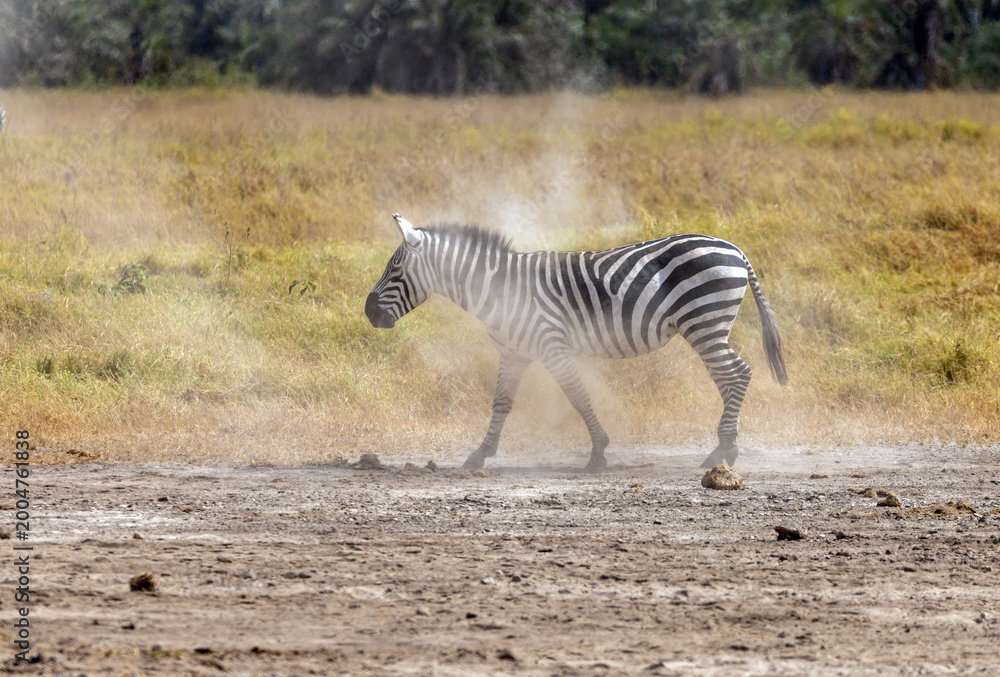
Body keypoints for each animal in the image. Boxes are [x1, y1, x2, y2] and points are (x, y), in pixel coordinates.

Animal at [366, 213, 787, 471]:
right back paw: (721, 448)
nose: (368, 312)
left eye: (395, 269)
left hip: (704, 320)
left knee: (737, 374)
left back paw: (726, 449)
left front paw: (598, 453)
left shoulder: (552, 346)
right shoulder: (514, 354)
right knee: (730, 377)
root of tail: (734, 248)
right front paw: (480, 454)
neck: (500, 290)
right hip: (709, 326)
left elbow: (578, 396)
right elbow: (501, 403)